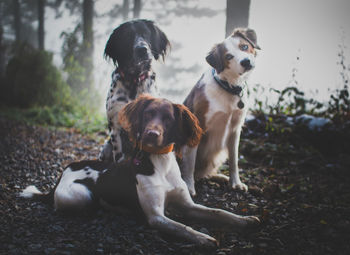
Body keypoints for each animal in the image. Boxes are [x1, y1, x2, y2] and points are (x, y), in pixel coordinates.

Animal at [19, 95, 260, 247]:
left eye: (168, 118)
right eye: (148, 114)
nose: (151, 134)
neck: (160, 163)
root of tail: (62, 174)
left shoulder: (188, 205)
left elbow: (218, 212)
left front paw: (245, 220)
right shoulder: (156, 217)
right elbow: (183, 227)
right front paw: (203, 238)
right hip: (81, 195)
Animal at [99, 19, 170, 163]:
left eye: (146, 33)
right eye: (127, 36)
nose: (142, 49)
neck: (134, 79)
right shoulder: (115, 126)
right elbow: (118, 157)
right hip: (105, 148)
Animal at [180, 27, 260, 195]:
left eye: (244, 46)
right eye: (228, 56)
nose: (245, 62)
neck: (228, 87)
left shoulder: (235, 129)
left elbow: (234, 161)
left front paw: (235, 183)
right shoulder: (197, 127)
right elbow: (189, 163)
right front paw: (189, 187)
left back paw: (220, 177)